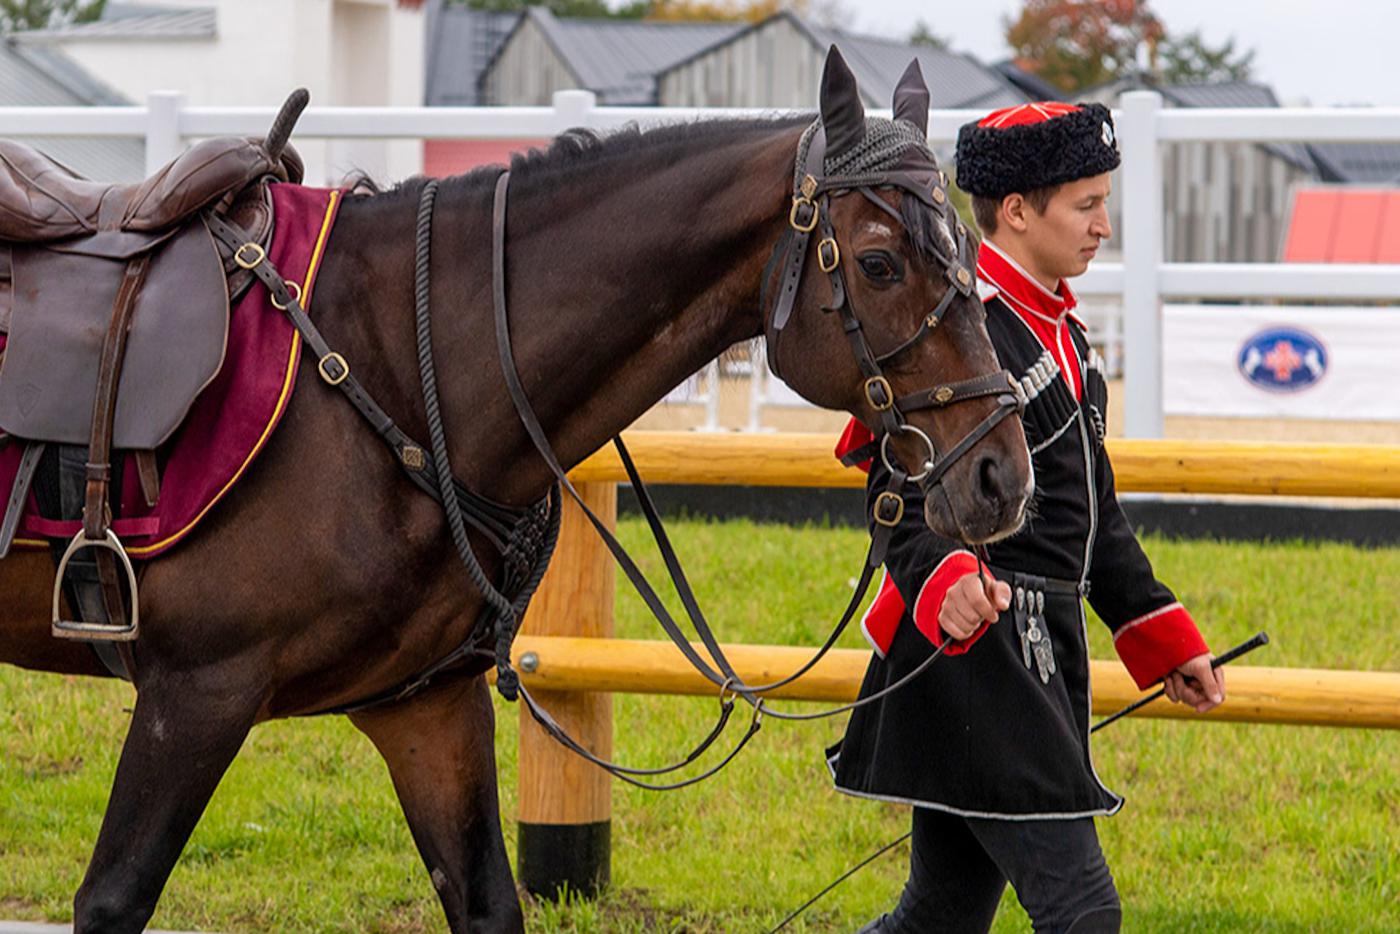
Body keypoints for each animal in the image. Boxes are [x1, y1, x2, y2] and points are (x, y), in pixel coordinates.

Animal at [0, 51, 1030, 934]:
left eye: (971, 254)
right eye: (880, 263)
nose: (1001, 475)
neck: (388, 356)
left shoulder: (427, 708)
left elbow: (487, 901)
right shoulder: (194, 694)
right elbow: (113, 900)